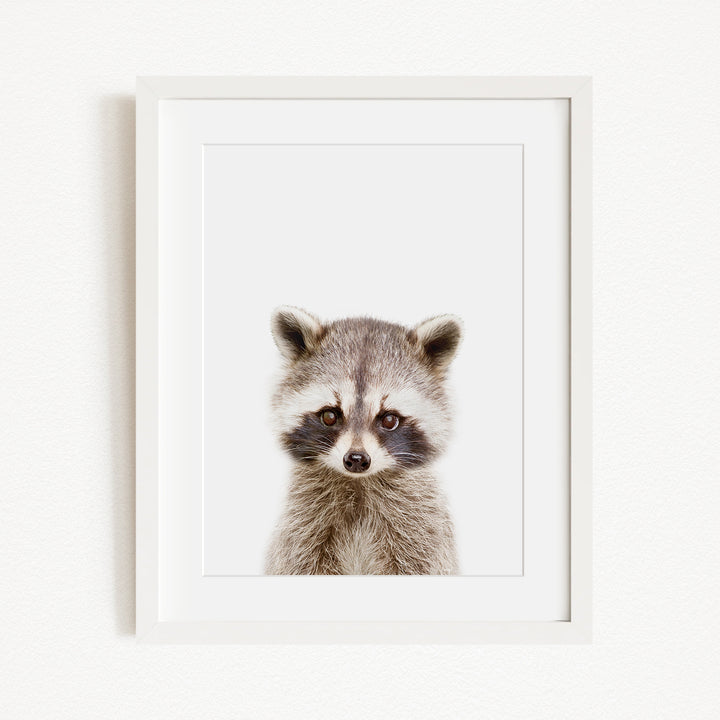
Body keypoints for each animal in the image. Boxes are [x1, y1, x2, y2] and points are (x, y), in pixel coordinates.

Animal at [264, 306, 462, 575]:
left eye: (389, 419)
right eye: (329, 416)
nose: (357, 459)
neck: (358, 484)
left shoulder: (421, 529)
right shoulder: (301, 527)